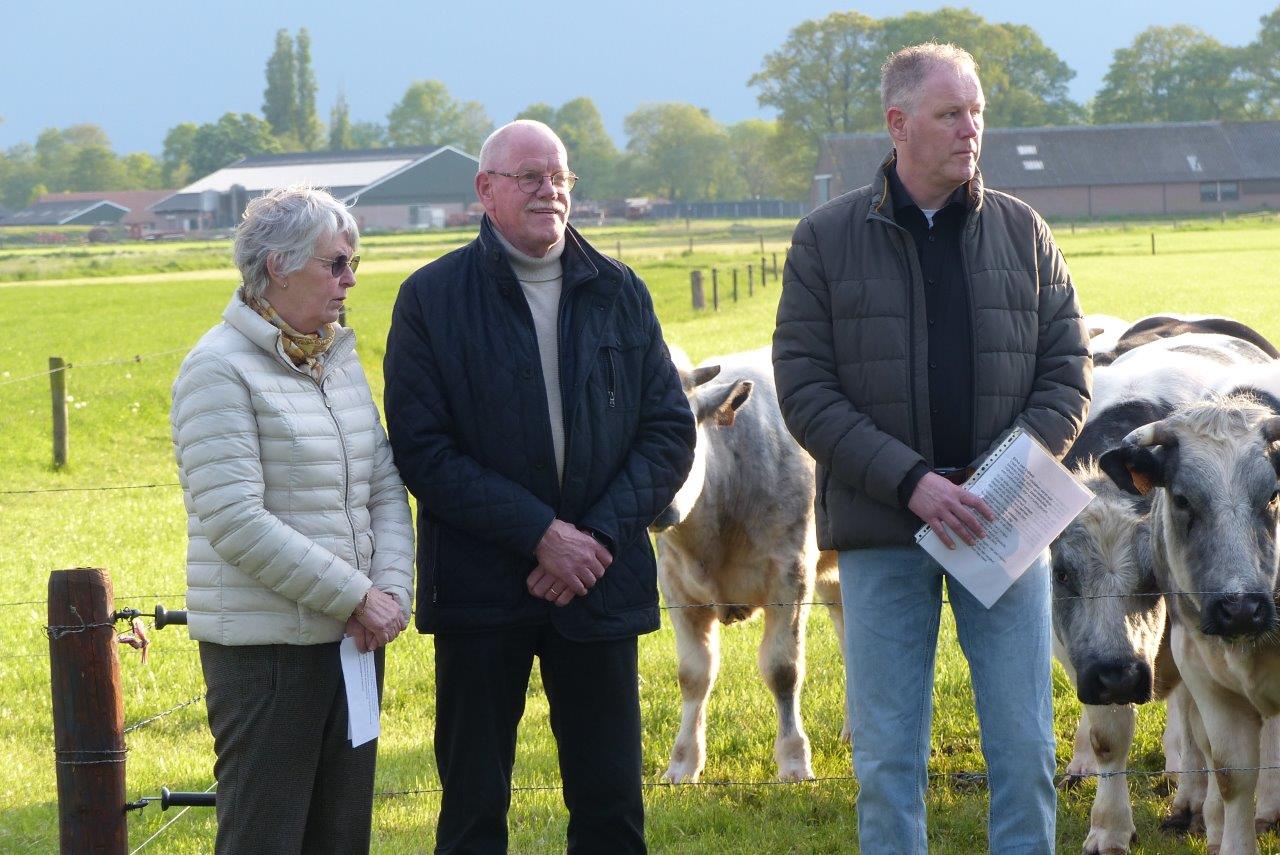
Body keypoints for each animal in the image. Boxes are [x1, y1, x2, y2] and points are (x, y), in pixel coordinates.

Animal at [650, 345, 849, 783]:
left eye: (688, 432)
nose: (658, 505)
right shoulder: (675, 587)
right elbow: (693, 674)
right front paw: (683, 764)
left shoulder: (790, 576)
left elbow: (782, 668)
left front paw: (794, 761)